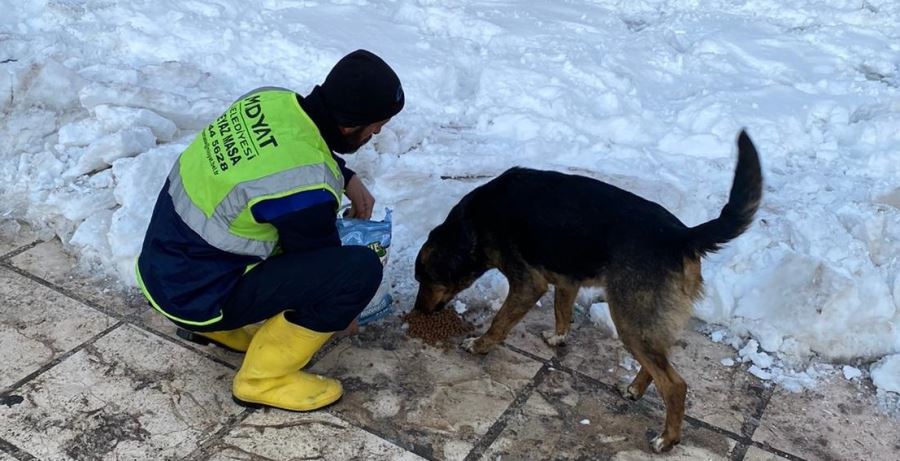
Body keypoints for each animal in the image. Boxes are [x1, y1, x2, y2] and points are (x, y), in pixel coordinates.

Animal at [414, 129, 760, 452]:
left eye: (423, 279)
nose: (417, 312)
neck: (471, 224)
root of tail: (682, 236)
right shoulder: (566, 280)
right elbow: (561, 312)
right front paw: (558, 338)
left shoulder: (528, 285)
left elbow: (500, 323)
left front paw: (480, 345)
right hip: (646, 326)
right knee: (658, 365)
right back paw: (635, 389)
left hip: (630, 321)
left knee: (675, 385)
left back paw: (667, 438)